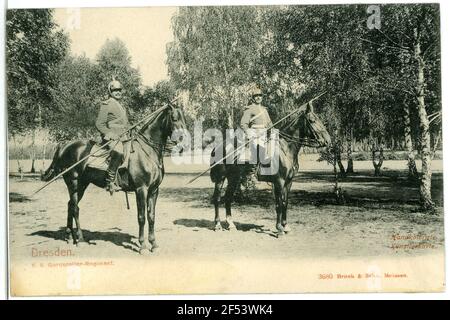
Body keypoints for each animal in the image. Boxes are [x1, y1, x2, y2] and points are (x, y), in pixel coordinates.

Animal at [41, 104, 186, 254]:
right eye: (174, 118)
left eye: (184, 117)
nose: (183, 140)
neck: (147, 151)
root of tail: (64, 146)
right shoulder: (141, 189)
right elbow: (142, 217)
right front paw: (143, 246)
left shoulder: (154, 190)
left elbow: (151, 217)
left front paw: (154, 244)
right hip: (74, 183)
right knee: (75, 208)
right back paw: (80, 239)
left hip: (82, 185)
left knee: (70, 205)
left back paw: (69, 236)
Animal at [210, 103, 330, 238]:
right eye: (312, 120)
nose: (328, 140)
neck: (285, 149)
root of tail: (217, 147)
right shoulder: (279, 181)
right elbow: (279, 204)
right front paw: (279, 229)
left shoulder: (288, 182)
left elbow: (285, 203)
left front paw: (285, 226)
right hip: (220, 178)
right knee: (217, 198)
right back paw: (217, 225)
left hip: (234, 178)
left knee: (228, 198)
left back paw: (231, 224)